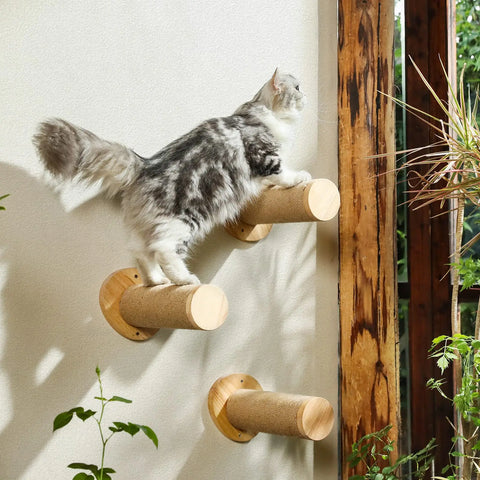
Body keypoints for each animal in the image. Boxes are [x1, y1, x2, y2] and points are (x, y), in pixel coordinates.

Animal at [33, 69, 312, 284]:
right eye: (298, 87)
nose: (306, 94)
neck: (260, 113)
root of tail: (143, 164)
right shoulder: (264, 156)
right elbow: (282, 174)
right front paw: (300, 177)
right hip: (183, 221)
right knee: (164, 251)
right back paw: (185, 280)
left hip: (145, 228)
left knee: (141, 253)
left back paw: (156, 282)